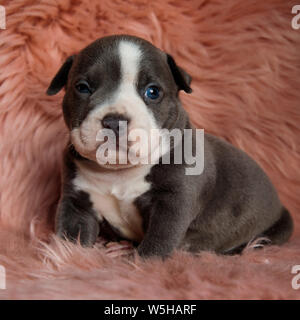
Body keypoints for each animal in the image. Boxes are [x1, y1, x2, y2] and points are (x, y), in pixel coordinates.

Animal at [46, 35, 292, 258]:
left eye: (153, 92)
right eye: (83, 88)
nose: (115, 121)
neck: (119, 172)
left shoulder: (173, 203)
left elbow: (159, 239)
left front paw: (143, 263)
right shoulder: (77, 203)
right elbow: (72, 237)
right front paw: (68, 256)